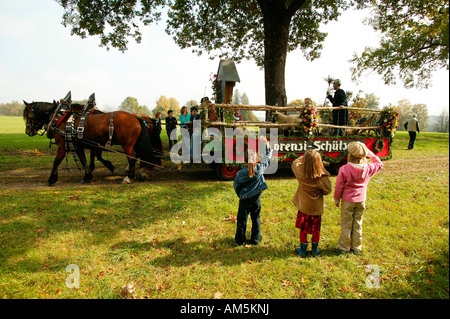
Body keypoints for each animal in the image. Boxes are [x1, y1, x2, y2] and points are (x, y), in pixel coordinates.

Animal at [23, 100, 160, 185]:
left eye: (28, 115)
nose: (27, 131)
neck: (62, 119)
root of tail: (137, 118)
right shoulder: (79, 145)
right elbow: (85, 159)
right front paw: (88, 175)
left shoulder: (63, 145)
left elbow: (56, 161)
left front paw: (52, 179)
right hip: (135, 143)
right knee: (140, 156)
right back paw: (142, 172)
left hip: (127, 145)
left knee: (132, 159)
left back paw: (129, 177)